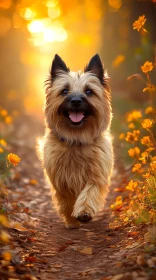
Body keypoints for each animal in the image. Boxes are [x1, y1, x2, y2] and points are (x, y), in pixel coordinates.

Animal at [40, 53, 114, 229]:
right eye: (64, 91)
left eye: (89, 91)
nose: (75, 101)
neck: (77, 138)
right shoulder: (61, 179)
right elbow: (66, 200)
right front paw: (72, 220)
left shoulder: (97, 175)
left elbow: (89, 192)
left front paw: (84, 212)